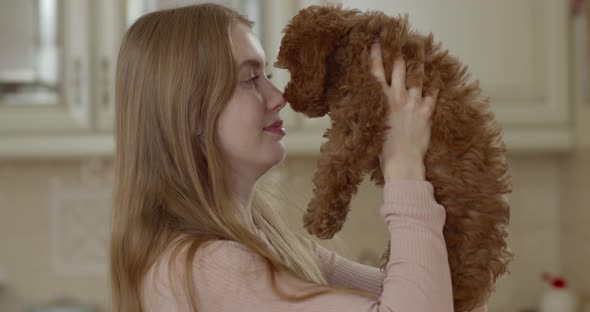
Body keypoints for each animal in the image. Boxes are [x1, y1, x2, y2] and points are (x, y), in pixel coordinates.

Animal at [278, 4, 512, 312]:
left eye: (292, 68)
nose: (287, 98)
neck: (349, 39)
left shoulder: (364, 110)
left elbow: (335, 162)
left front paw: (320, 216)